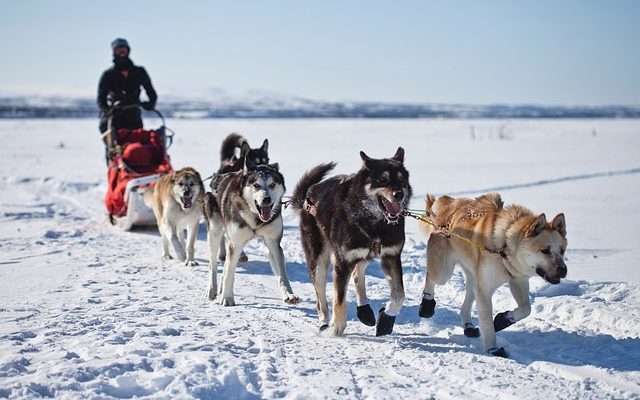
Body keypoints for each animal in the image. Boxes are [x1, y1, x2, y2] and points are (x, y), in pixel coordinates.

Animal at [205, 161, 300, 304]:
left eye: (272, 184)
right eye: (256, 185)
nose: (266, 199)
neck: (255, 218)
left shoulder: (273, 243)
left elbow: (282, 274)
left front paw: (289, 294)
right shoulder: (236, 244)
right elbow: (229, 272)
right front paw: (227, 298)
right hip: (215, 233)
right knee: (213, 264)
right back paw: (212, 289)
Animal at [290, 148, 410, 336]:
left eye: (401, 179)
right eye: (382, 180)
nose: (399, 194)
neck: (375, 224)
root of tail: (308, 195)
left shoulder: (391, 256)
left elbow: (399, 295)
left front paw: (387, 319)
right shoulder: (342, 262)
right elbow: (339, 299)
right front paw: (337, 327)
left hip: (362, 254)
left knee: (357, 274)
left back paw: (365, 310)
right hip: (319, 261)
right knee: (320, 296)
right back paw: (325, 322)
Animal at [418, 192, 568, 358]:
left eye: (562, 251)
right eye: (545, 250)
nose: (563, 270)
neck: (504, 246)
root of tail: (445, 203)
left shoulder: (518, 280)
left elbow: (526, 309)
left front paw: (504, 319)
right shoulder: (485, 289)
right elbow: (487, 321)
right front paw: (492, 348)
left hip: (473, 279)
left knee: (466, 303)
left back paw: (468, 326)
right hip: (444, 272)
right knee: (431, 276)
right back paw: (426, 304)